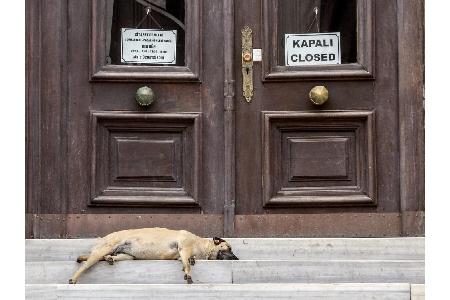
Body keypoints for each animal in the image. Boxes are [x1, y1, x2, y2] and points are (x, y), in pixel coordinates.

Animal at [68, 227, 239, 284]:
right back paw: (74, 278)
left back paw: (110, 258)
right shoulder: (184, 248)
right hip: (103, 250)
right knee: (86, 265)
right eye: (229, 248)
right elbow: (187, 264)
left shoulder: (182, 254)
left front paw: (192, 261)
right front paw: (188, 274)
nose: (237, 259)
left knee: (109, 257)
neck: (201, 245)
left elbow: (186, 261)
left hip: (127, 255)